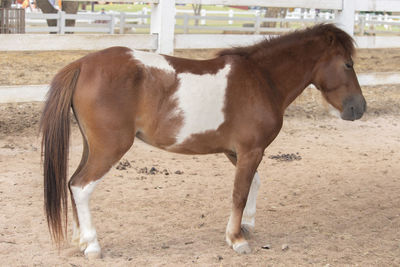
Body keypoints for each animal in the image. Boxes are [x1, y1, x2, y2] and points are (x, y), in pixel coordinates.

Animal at [39, 24, 366, 258]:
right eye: (348, 64)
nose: (358, 108)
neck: (262, 80)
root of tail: (82, 65)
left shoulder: (238, 152)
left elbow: (253, 184)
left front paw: (246, 226)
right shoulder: (251, 151)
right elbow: (239, 193)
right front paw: (236, 239)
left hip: (92, 147)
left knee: (72, 183)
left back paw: (81, 239)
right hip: (109, 149)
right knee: (82, 187)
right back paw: (92, 245)